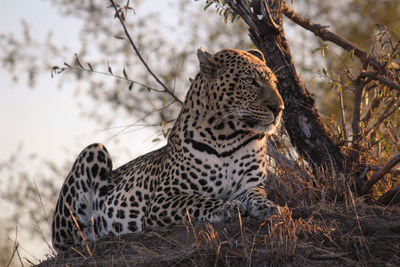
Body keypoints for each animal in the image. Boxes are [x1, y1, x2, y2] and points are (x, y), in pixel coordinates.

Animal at [51, 47, 284, 253]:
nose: (279, 108)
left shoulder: (249, 185)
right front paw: (226, 207)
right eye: (251, 81)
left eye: (274, 82)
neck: (229, 135)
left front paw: (270, 207)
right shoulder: (163, 199)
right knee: (69, 240)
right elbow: (197, 200)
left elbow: (256, 196)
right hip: (93, 150)